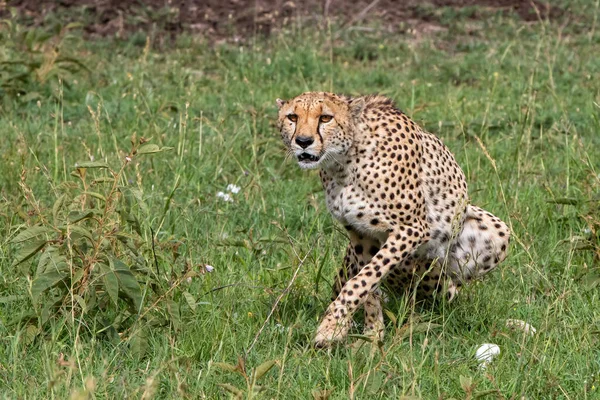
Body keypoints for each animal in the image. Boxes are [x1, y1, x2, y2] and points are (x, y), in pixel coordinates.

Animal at [278, 90, 510, 346]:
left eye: (326, 118)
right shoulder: (361, 234)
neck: (344, 162)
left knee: (443, 289)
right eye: (292, 117)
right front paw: (371, 334)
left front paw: (331, 328)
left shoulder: (412, 228)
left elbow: (362, 280)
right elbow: (367, 284)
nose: (303, 141)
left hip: (494, 234)